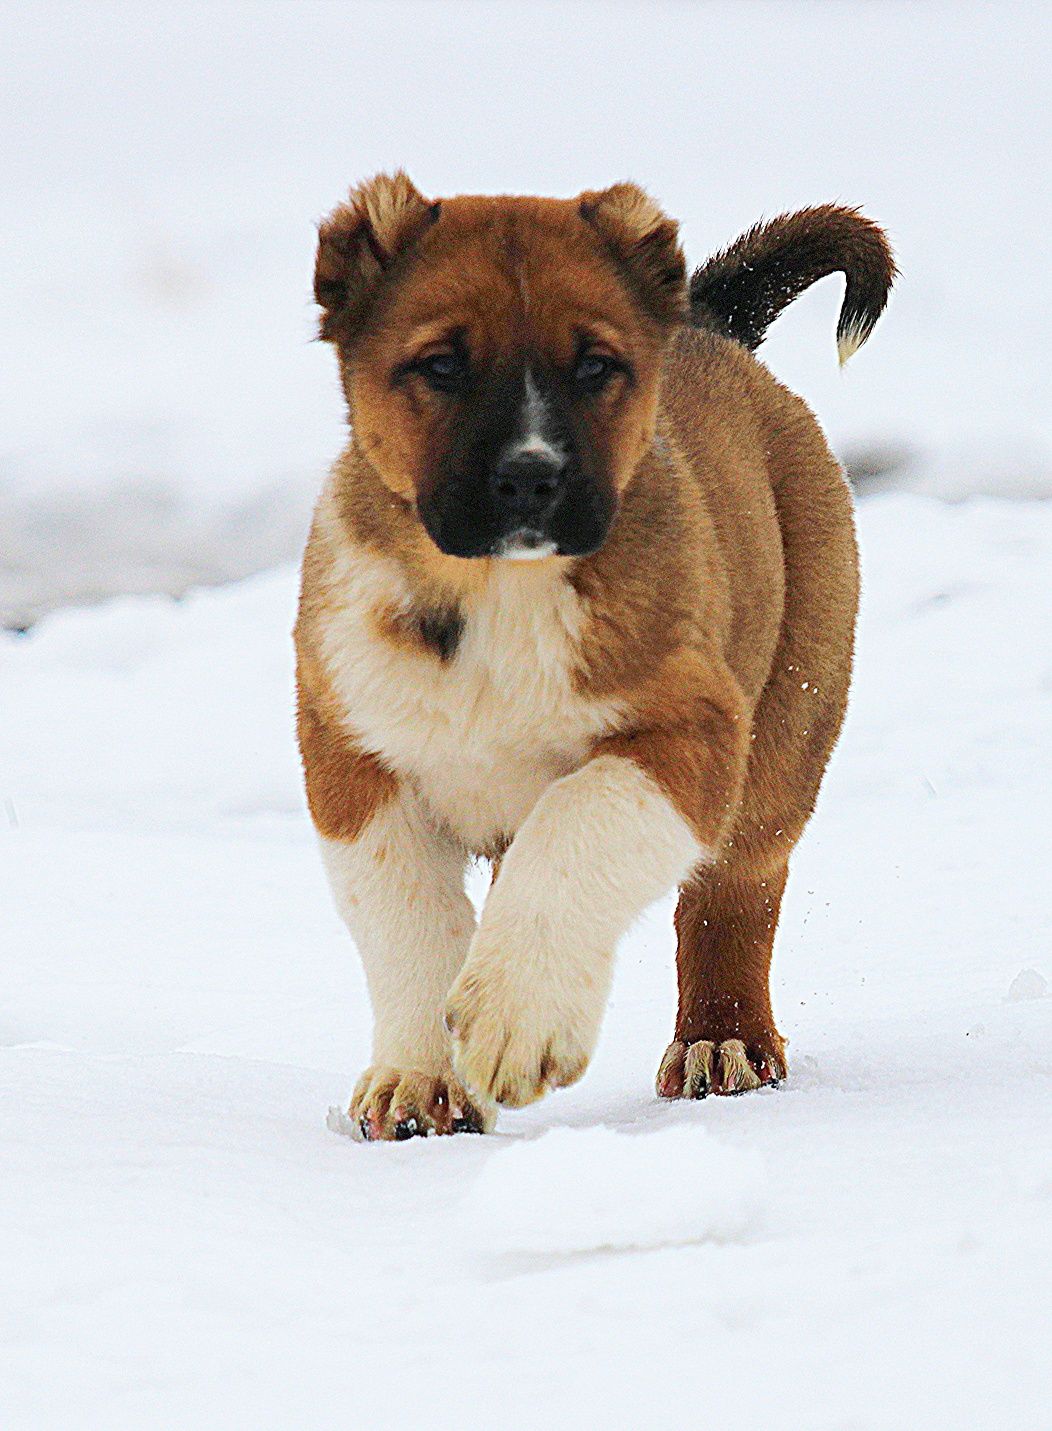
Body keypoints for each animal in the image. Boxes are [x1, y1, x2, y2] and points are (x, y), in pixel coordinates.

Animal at [296, 173, 898, 1139]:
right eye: (441, 365)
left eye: (594, 367)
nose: (531, 476)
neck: (498, 592)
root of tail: (712, 322)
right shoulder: (350, 755)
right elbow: (406, 918)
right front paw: (419, 1081)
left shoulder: (691, 730)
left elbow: (575, 826)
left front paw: (515, 1019)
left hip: (785, 731)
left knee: (735, 893)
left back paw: (722, 1043)